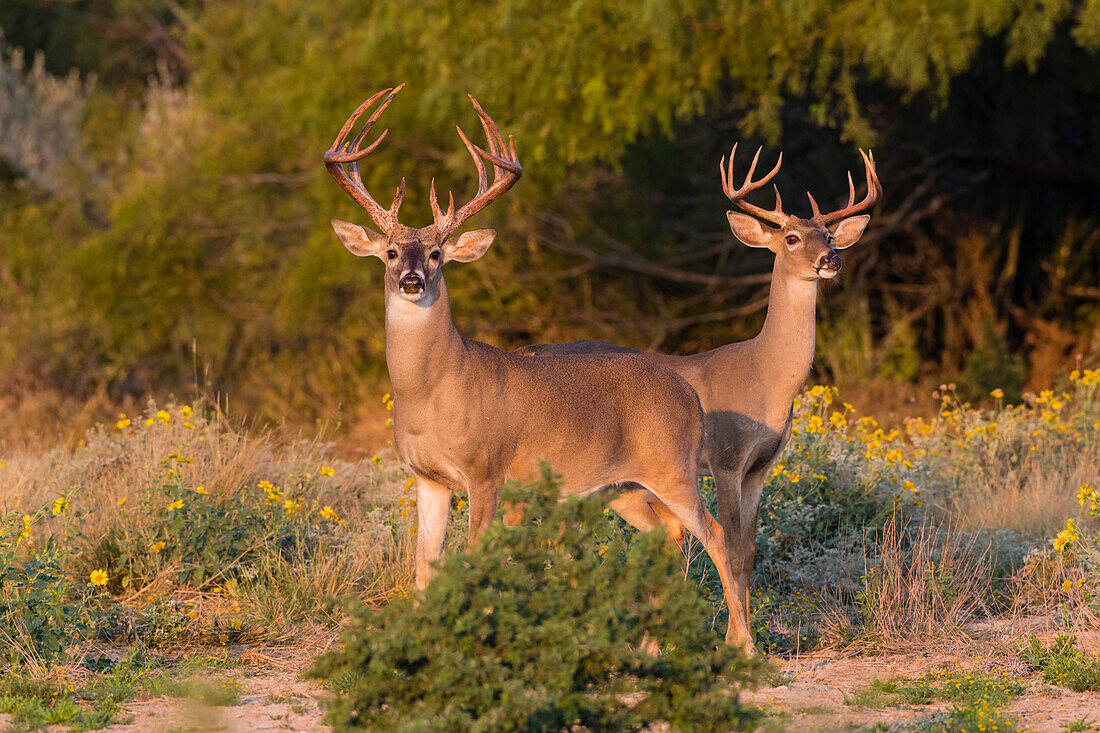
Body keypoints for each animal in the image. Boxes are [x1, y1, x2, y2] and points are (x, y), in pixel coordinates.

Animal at [514, 144, 884, 647]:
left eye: (828, 234)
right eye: (790, 237)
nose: (830, 260)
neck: (764, 375)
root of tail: (528, 350)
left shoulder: (760, 468)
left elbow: (749, 550)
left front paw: (745, 635)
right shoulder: (726, 457)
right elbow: (730, 544)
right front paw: (739, 641)